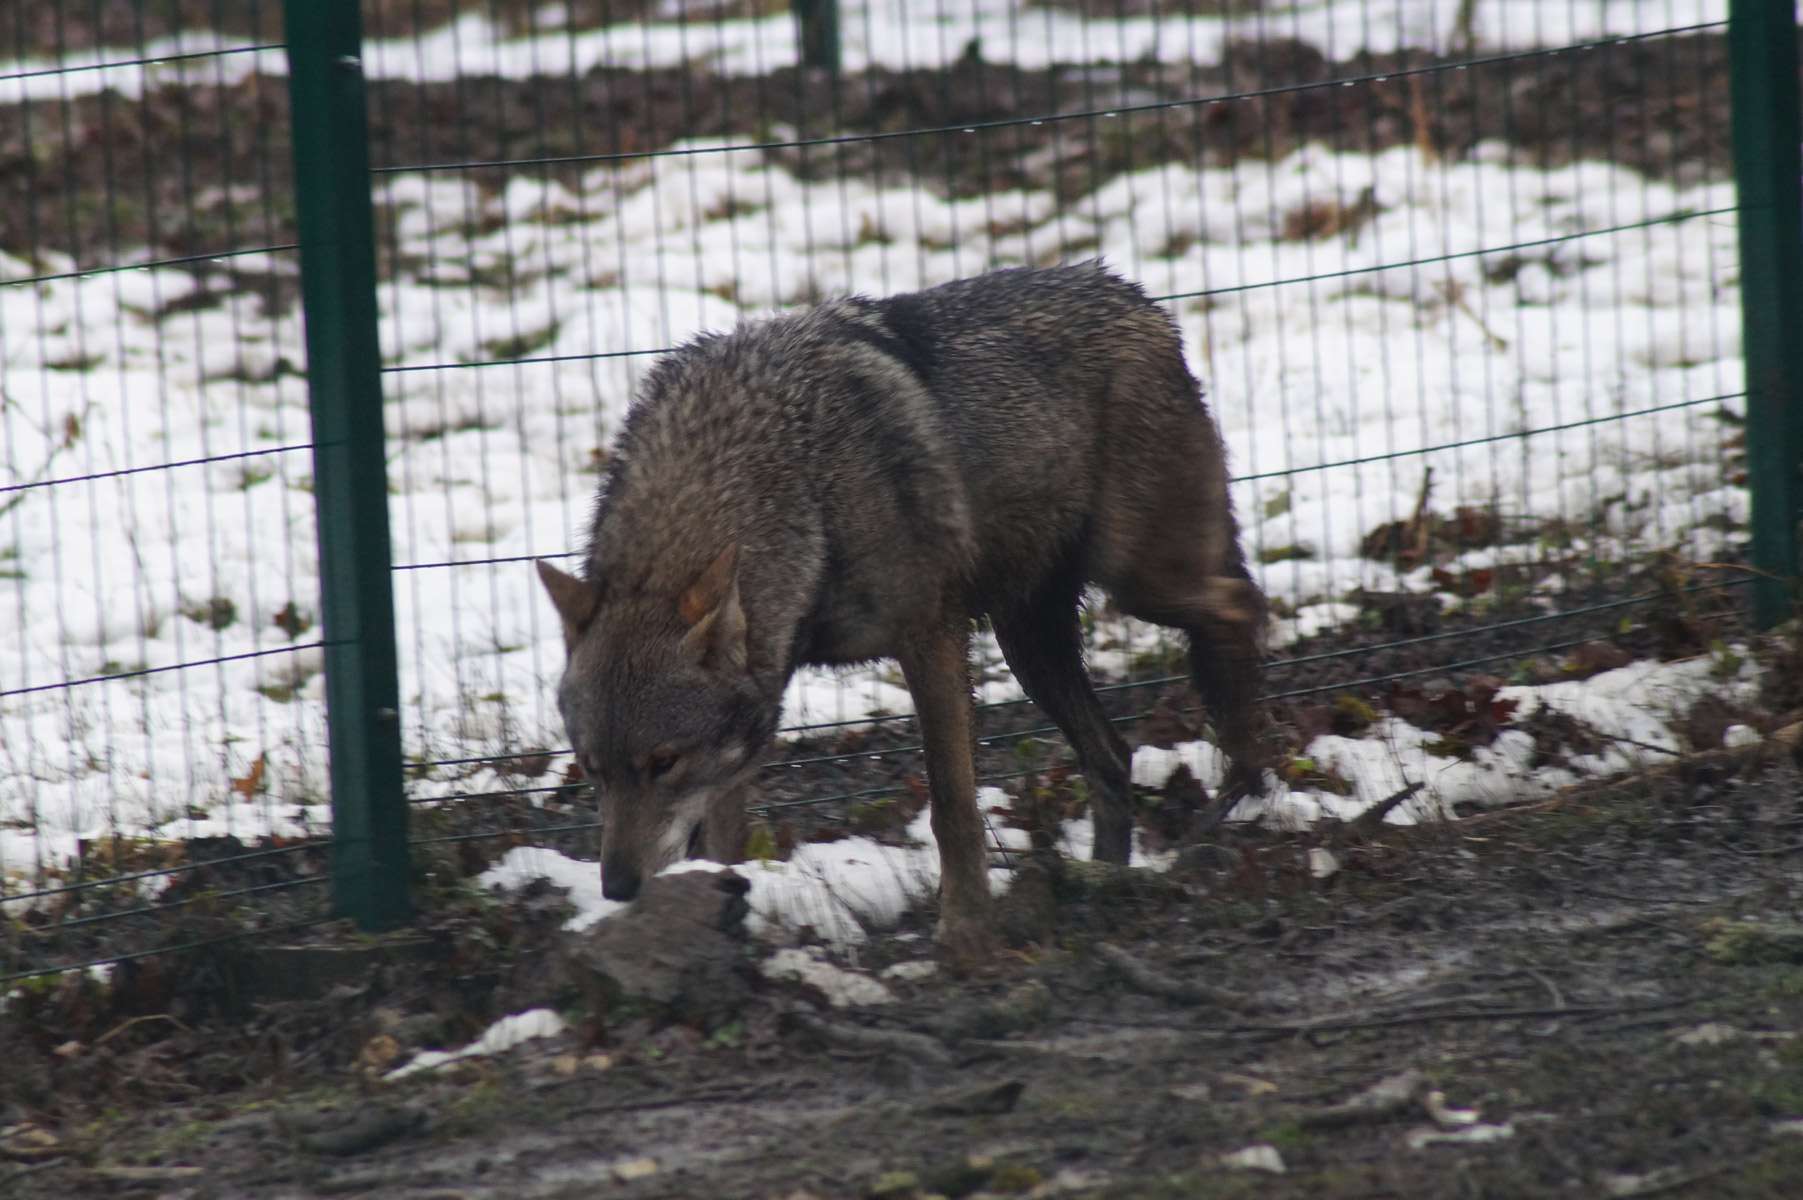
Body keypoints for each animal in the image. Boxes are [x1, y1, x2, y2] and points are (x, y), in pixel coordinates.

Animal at [533, 264, 1269, 951]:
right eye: (594, 771)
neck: (798, 479)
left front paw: (966, 933)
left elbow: (952, 808)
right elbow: (718, 838)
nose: (617, 887)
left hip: (1138, 582)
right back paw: (1107, 875)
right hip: (1028, 642)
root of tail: (1136, 298)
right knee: (1113, 753)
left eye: (663, 763)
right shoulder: (751, 715)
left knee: (1240, 603)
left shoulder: (929, 639)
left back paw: (1240, 781)